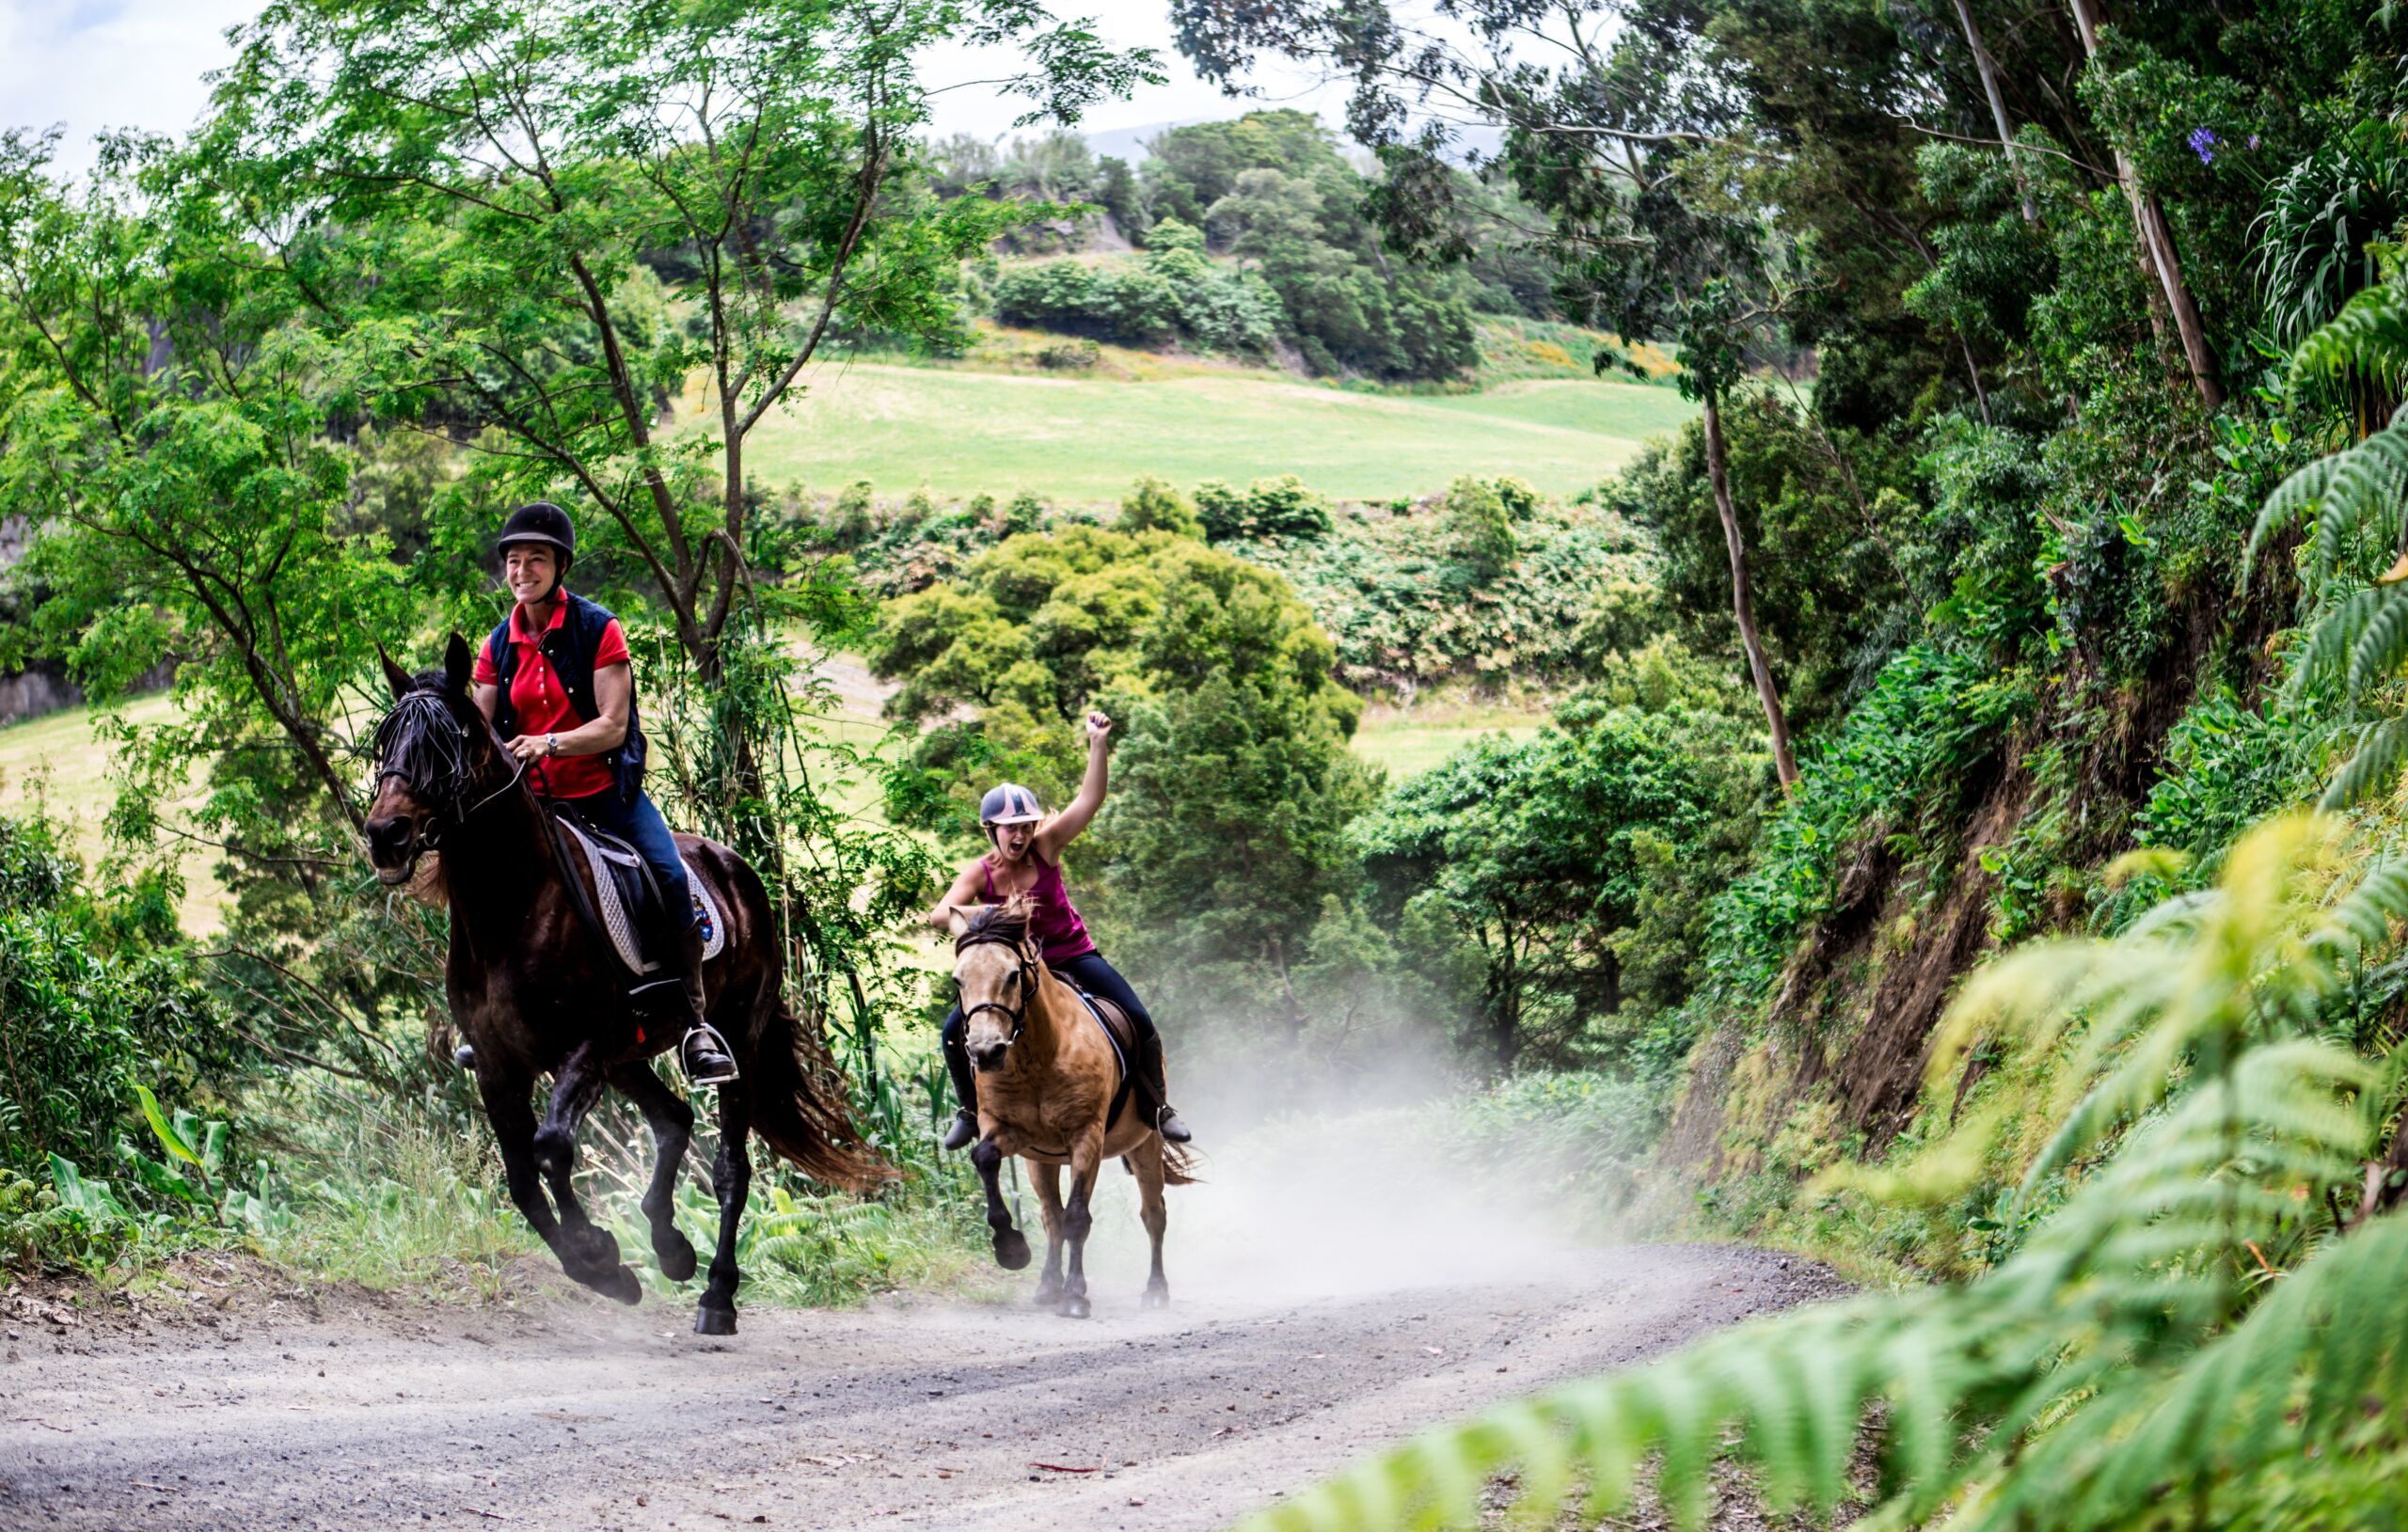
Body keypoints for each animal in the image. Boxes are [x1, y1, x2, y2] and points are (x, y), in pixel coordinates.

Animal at [356, 636, 886, 1329]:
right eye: (385, 739)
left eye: (450, 741)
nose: (384, 834)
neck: (510, 909)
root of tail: (738, 869)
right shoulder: (500, 1064)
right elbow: (521, 1177)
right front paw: (602, 1267)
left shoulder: (580, 1050)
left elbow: (552, 1148)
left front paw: (598, 1255)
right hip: (628, 1056)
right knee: (675, 1118)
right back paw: (672, 1248)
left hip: (732, 1041)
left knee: (730, 1167)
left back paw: (716, 1295)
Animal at [948, 895, 1194, 1319]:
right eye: (957, 981)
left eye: (1012, 975)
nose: (985, 1051)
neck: (1038, 1056)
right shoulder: (1008, 1130)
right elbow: (985, 1158)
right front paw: (1010, 1247)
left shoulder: (1086, 1136)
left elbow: (1078, 1216)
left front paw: (1076, 1294)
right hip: (1040, 1161)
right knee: (1051, 1216)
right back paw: (1048, 1285)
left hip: (1144, 1144)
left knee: (1153, 1215)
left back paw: (1155, 1290)